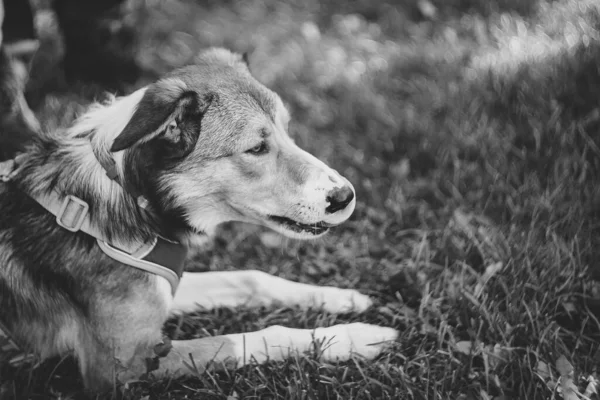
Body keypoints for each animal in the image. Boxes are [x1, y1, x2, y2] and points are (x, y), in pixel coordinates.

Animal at [0, 48, 398, 392]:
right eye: (256, 148)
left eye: (287, 129)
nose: (345, 196)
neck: (133, 197)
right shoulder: (124, 364)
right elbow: (254, 338)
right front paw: (353, 336)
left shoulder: (165, 285)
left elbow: (251, 277)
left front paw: (341, 298)